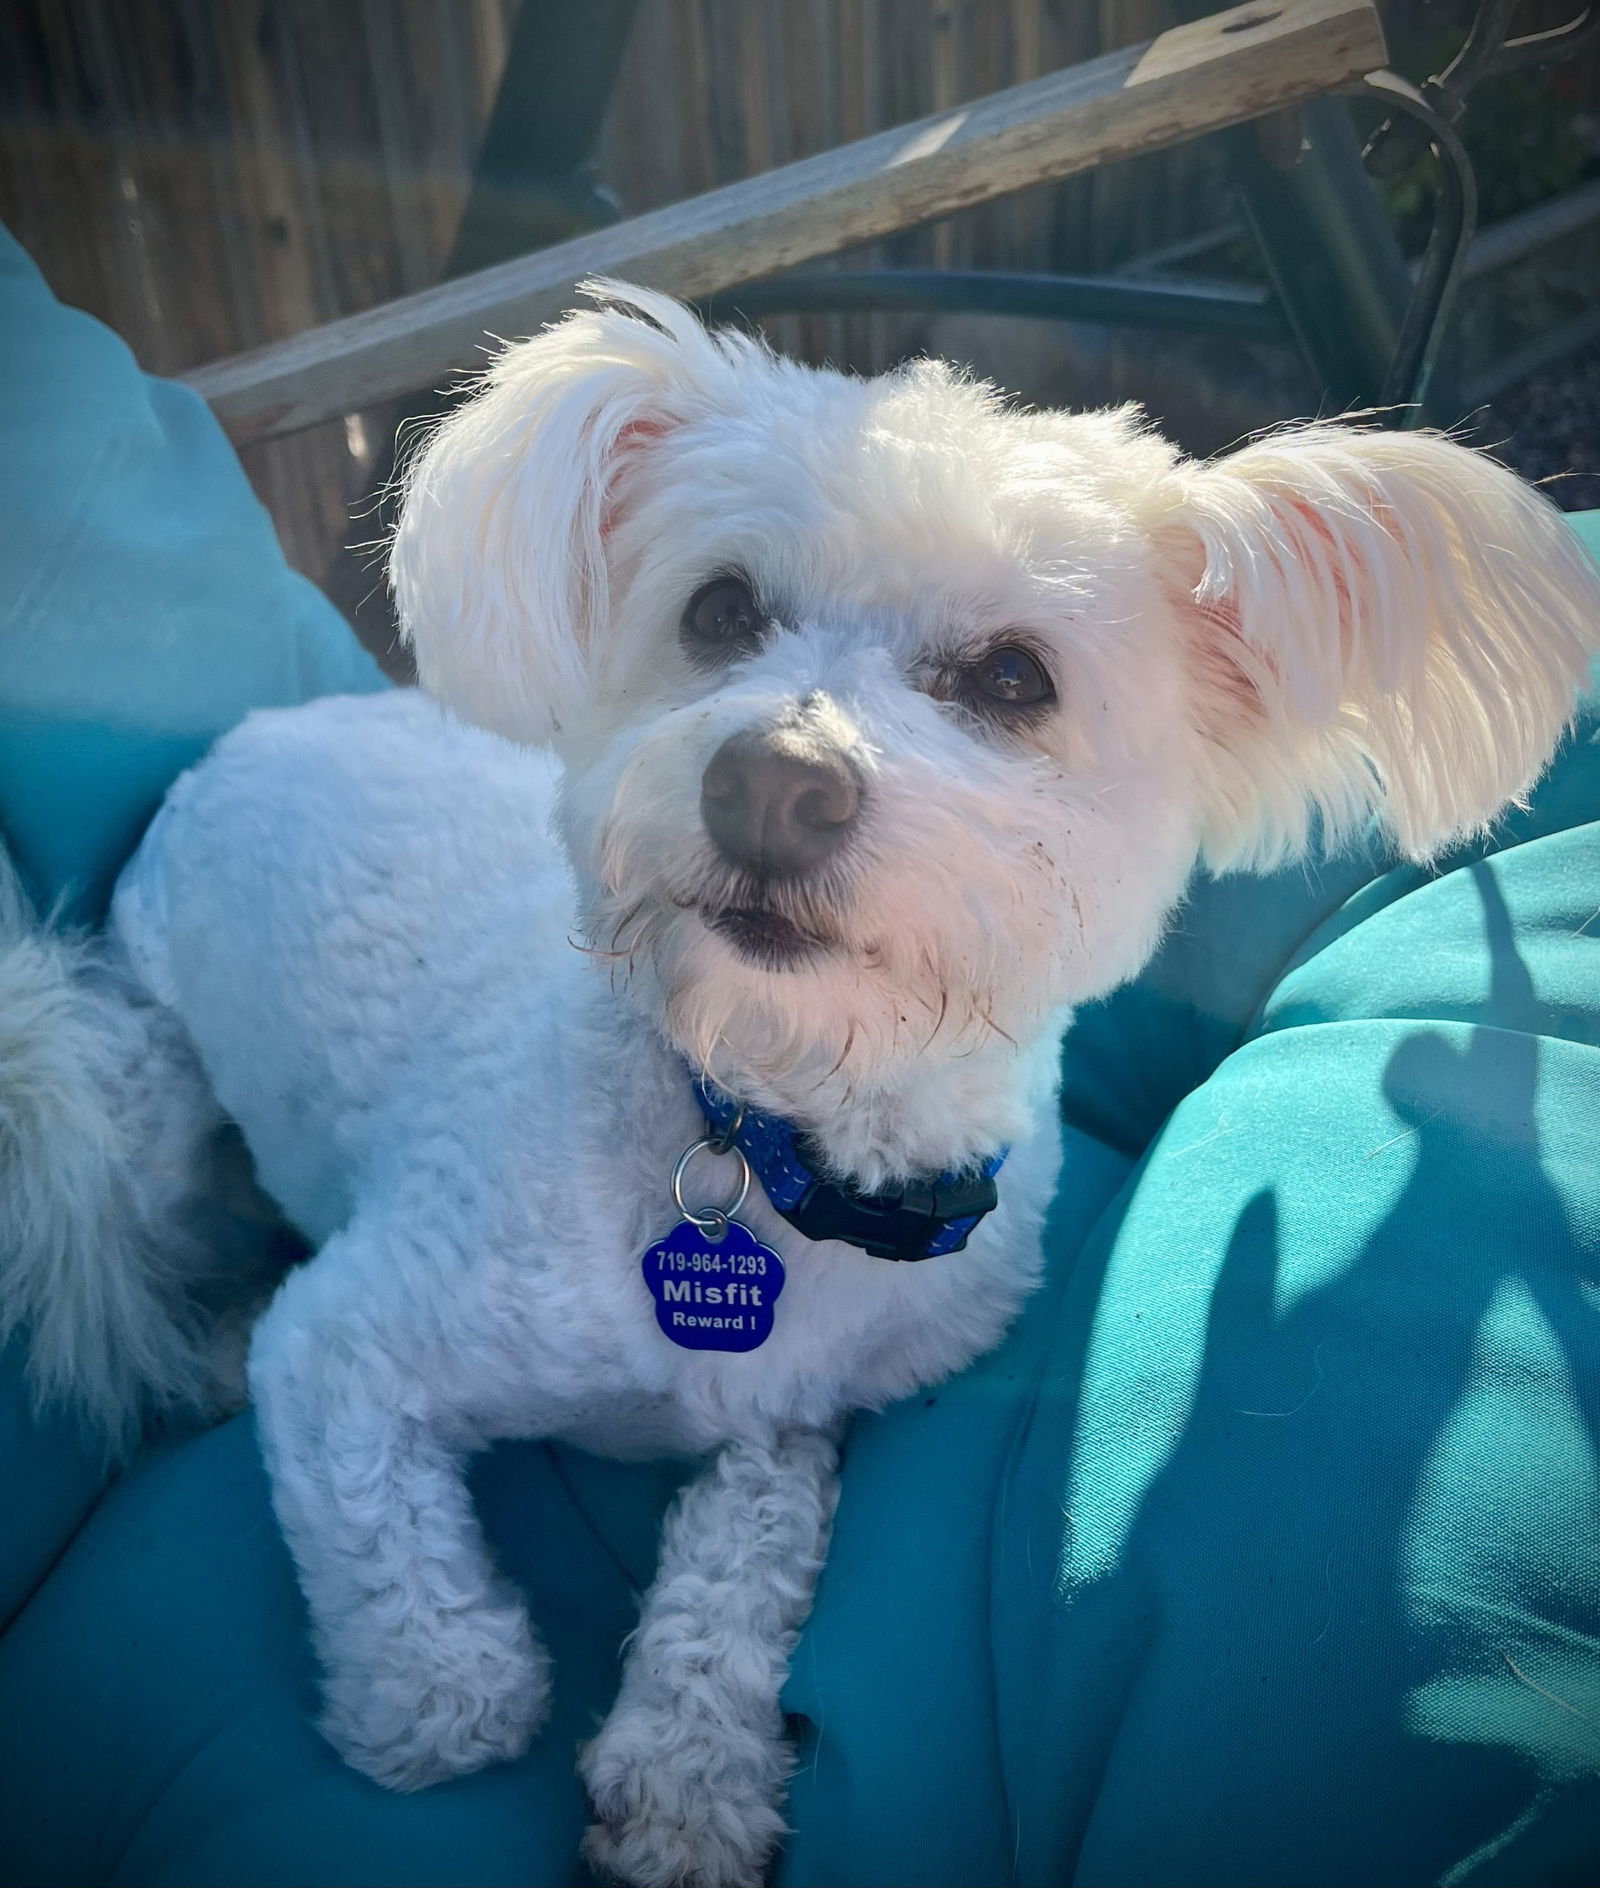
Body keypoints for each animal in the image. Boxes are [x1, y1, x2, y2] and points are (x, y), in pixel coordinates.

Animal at [3, 283, 1600, 1888]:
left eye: (1015, 677)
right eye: (719, 609)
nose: (771, 781)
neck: (769, 1133)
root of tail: (249, 738)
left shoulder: (805, 1417)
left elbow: (757, 1528)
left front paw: (689, 1766)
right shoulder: (349, 1347)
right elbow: (407, 1588)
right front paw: (436, 1697)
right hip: (138, 1090)